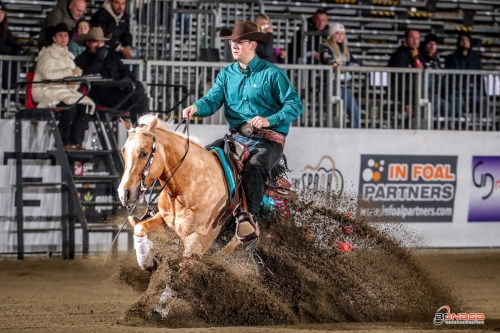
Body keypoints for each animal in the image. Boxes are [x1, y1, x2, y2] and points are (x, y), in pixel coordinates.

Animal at [117, 113, 242, 268]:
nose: (124, 194)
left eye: (144, 153)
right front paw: (148, 264)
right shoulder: (164, 221)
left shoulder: (197, 243)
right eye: (123, 152)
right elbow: (140, 227)